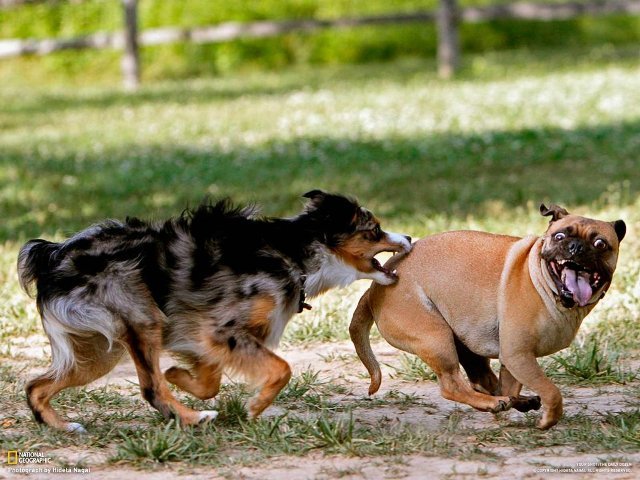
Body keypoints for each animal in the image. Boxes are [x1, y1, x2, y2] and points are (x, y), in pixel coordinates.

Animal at [350, 204, 624, 430]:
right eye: (560, 236)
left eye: (600, 244)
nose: (575, 247)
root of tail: (374, 288)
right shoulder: (518, 356)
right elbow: (552, 391)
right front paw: (549, 419)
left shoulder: (513, 360)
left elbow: (512, 385)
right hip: (436, 339)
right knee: (453, 386)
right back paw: (494, 403)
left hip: (464, 346)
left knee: (484, 383)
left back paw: (513, 401)